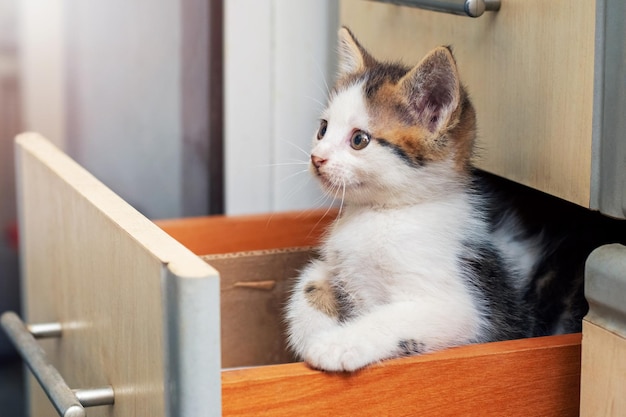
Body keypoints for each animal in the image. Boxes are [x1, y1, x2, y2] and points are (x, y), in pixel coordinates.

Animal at [284, 26, 604, 370]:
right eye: (323, 129)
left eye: (359, 140)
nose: (317, 158)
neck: (385, 211)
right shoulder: (333, 264)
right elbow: (308, 280)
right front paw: (309, 331)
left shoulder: (463, 308)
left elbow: (393, 318)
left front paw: (334, 344)